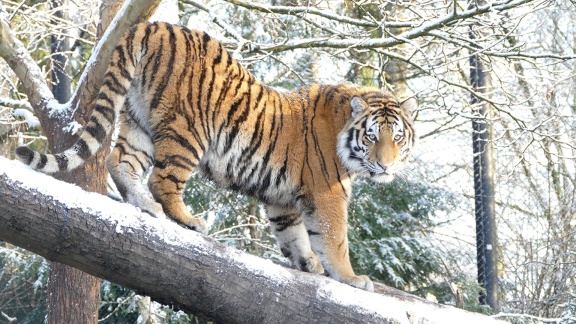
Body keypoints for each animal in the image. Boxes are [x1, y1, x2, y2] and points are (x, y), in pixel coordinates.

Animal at [15, 21, 414, 292]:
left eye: (397, 138)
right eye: (373, 137)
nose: (386, 165)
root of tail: (155, 25)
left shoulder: (283, 199)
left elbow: (294, 234)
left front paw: (308, 264)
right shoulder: (328, 194)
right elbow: (335, 238)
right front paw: (353, 278)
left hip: (138, 121)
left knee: (120, 161)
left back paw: (145, 206)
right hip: (187, 131)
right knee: (162, 179)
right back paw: (188, 220)